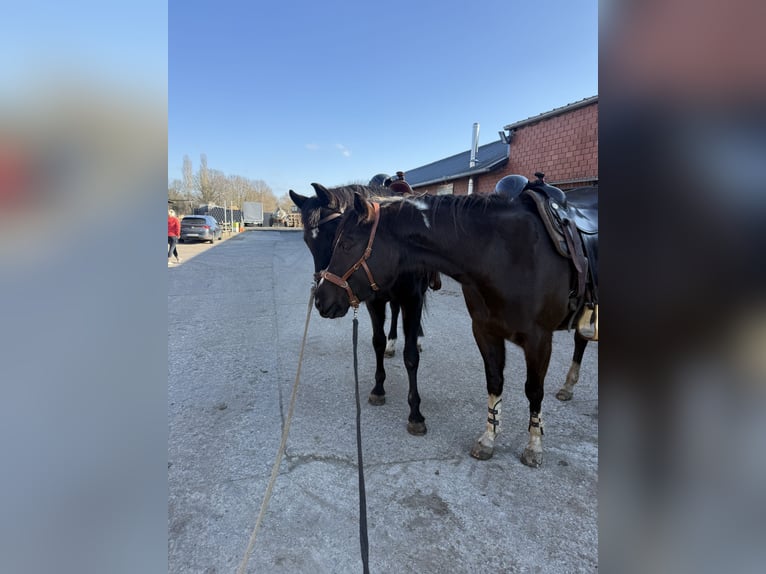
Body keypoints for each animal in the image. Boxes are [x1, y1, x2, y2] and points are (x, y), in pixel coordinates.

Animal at [288, 183, 436, 435]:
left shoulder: (413, 300)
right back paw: (392, 343)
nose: (320, 299)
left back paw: (416, 337)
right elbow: (377, 342)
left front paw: (415, 413)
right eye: (307, 241)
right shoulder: (374, 302)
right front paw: (378, 388)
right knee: (394, 313)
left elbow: (411, 357)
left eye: (339, 237)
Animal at [313, 190, 597, 466]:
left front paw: (534, 446)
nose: (320, 299)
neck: (506, 255)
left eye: (347, 243)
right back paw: (568, 387)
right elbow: (494, 382)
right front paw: (489, 438)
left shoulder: (539, 340)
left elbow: (534, 390)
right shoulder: (485, 331)